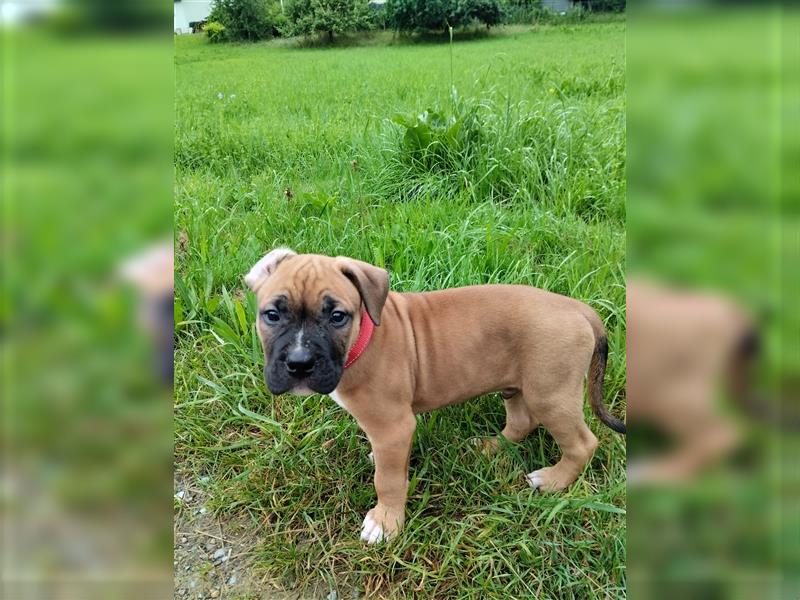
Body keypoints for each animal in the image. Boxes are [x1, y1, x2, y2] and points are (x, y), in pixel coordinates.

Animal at [244, 248, 624, 544]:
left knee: (582, 443)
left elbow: (388, 480)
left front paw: (385, 522)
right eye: (272, 315)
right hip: (517, 386)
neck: (362, 338)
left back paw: (553, 480)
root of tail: (577, 308)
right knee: (521, 421)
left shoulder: (393, 428)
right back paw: (491, 446)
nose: (299, 362)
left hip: (551, 395)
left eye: (337, 316)